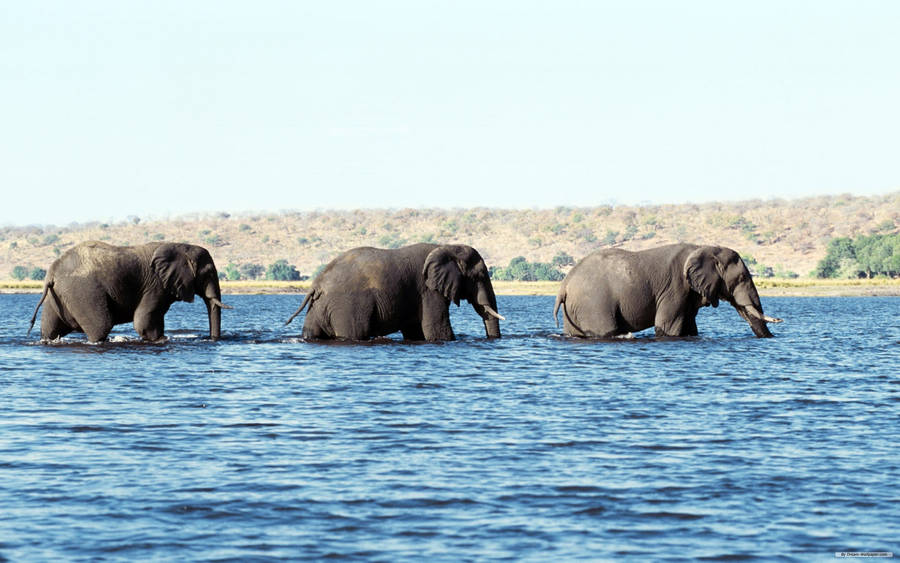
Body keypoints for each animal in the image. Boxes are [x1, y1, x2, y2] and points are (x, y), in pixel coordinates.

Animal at [28, 241, 230, 342]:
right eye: (208, 273)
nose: (213, 339)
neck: (181, 246)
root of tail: (52, 271)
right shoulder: (156, 285)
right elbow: (143, 321)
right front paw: (162, 340)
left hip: (58, 296)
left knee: (50, 329)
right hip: (83, 292)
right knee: (101, 326)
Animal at [286, 243, 504, 341]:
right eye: (480, 275)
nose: (491, 339)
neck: (448, 247)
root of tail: (317, 284)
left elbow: (415, 331)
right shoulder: (428, 290)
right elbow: (437, 330)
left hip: (318, 308)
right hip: (346, 308)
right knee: (355, 333)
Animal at [553, 243, 782, 338]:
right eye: (742, 278)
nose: (771, 338)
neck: (706, 248)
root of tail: (564, 286)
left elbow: (689, 327)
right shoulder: (675, 288)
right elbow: (668, 327)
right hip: (593, 303)